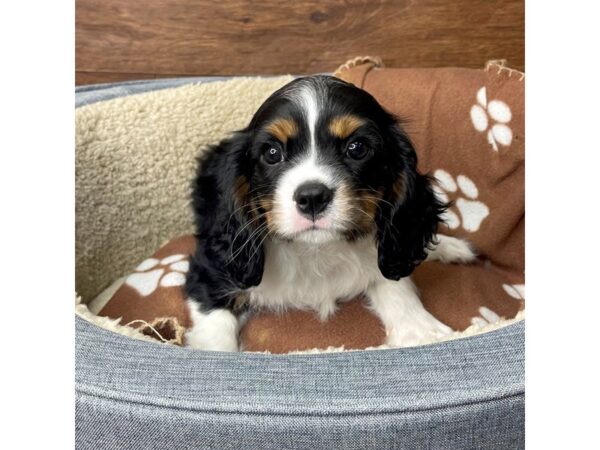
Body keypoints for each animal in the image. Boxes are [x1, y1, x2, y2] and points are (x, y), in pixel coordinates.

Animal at [185, 74, 476, 352]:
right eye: (272, 153)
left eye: (357, 148)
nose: (312, 197)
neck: (314, 250)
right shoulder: (212, 269)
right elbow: (216, 334)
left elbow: (393, 280)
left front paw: (421, 330)